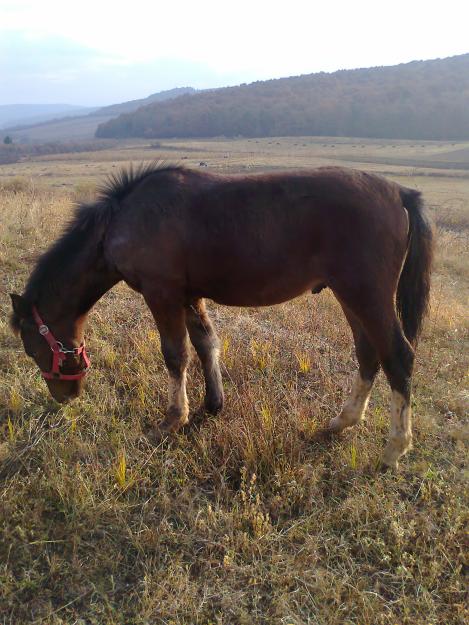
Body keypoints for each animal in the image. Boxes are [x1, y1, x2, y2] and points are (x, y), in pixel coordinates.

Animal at [9, 163, 432, 466]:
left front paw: (172, 420)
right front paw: (212, 405)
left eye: (31, 349)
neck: (125, 220)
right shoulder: (189, 295)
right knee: (369, 354)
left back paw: (394, 450)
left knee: (398, 356)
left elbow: (175, 355)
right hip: (351, 297)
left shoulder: (162, 293)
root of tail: (398, 193)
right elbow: (206, 344)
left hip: (366, 295)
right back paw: (342, 422)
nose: (64, 396)